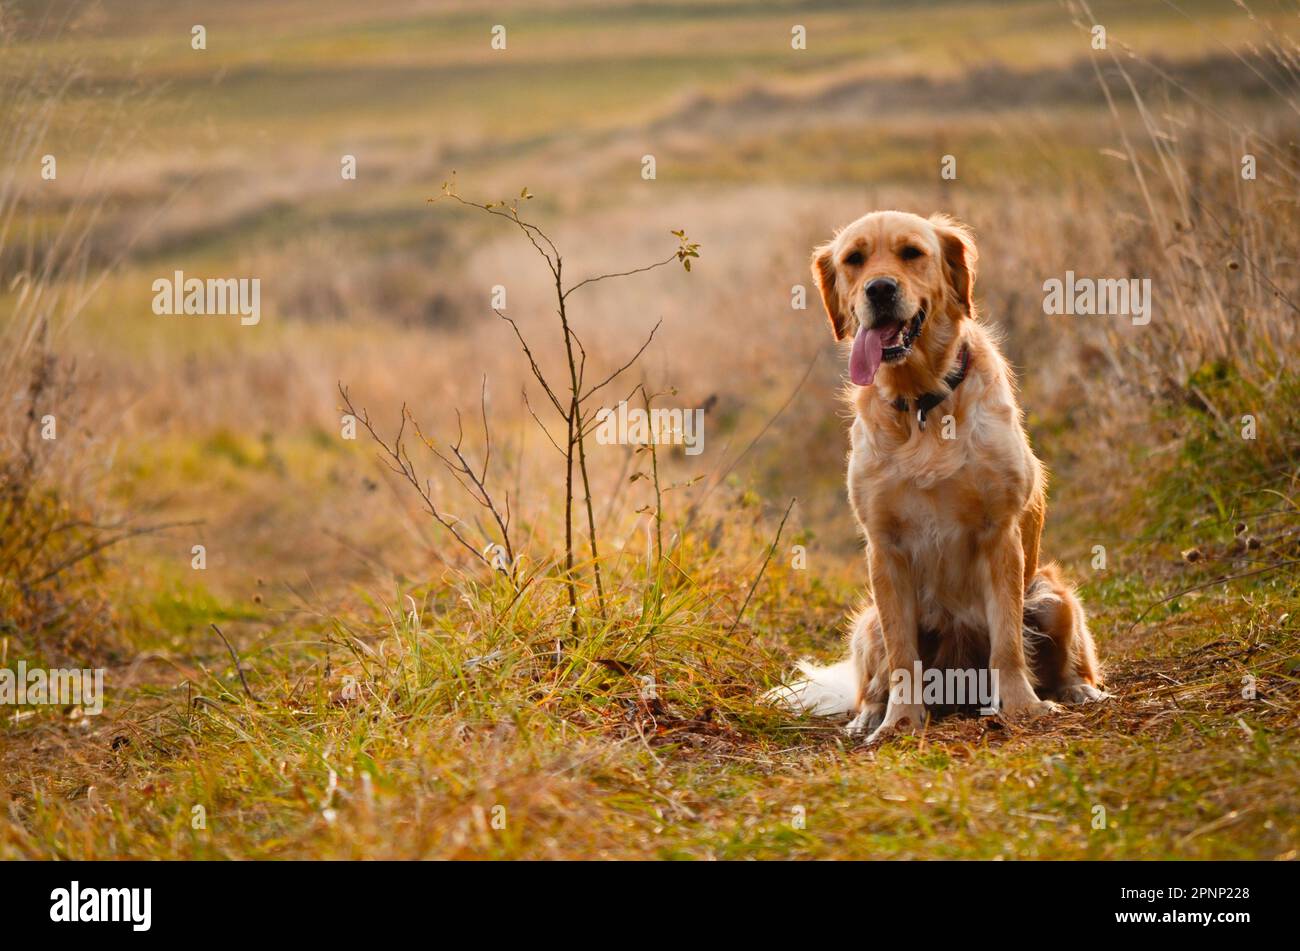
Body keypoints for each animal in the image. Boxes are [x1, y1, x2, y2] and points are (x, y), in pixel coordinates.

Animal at [769, 210, 1107, 743]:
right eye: (854, 259)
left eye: (912, 253)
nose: (880, 289)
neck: (922, 403)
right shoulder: (884, 548)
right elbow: (901, 657)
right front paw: (900, 723)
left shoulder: (999, 533)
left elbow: (1008, 643)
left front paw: (1021, 708)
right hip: (868, 623)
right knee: (875, 676)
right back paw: (869, 716)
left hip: (1052, 598)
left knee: (1066, 658)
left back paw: (1079, 690)